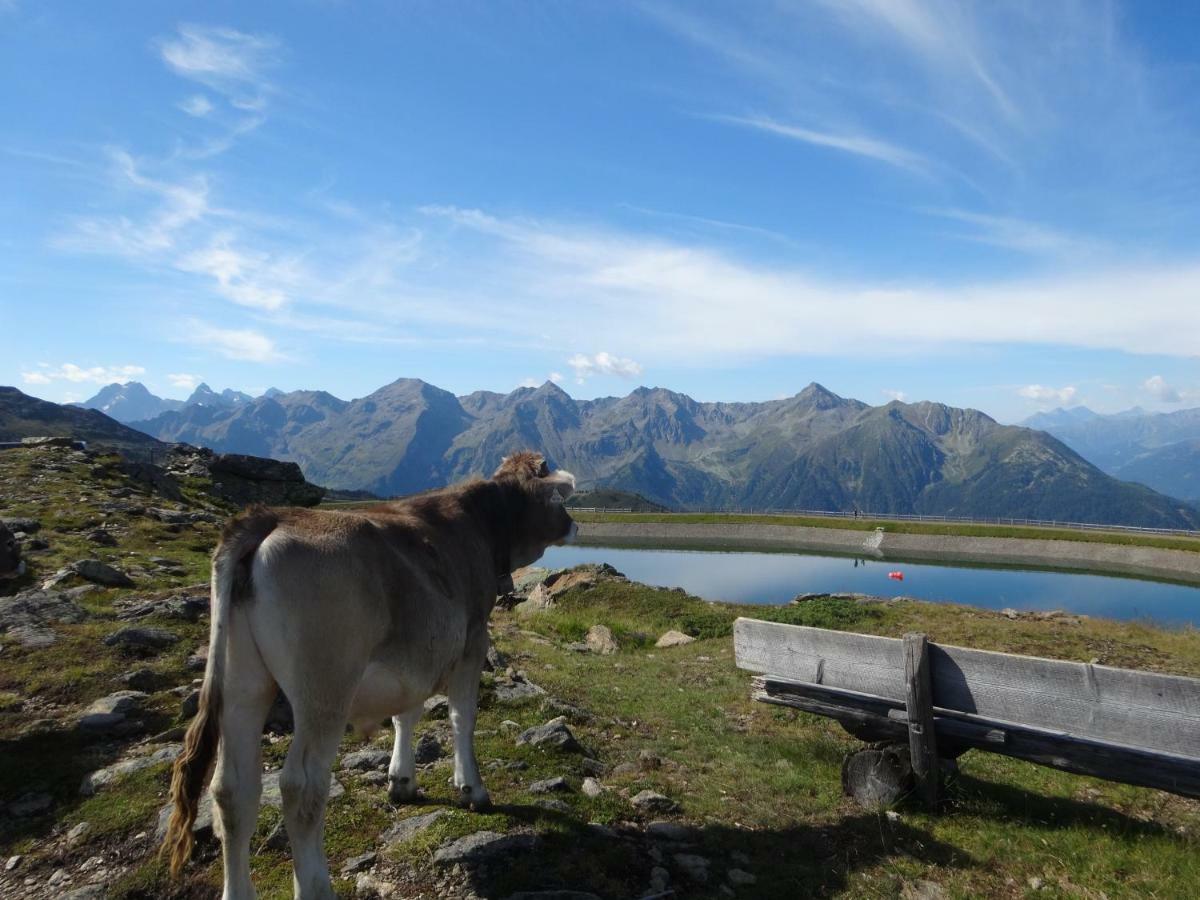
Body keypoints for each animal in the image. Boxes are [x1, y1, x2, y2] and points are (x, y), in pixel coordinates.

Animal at [166, 453, 578, 900]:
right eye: (559, 497)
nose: (576, 525)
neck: (481, 527)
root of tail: (271, 516)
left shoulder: (415, 656)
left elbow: (405, 713)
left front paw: (401, 780)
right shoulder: (472, 641)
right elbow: (461, 717)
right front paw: (472, 788)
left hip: (242, 681)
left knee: (232, 788)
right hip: (325, 687)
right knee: (300, 786)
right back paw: (316, 885)